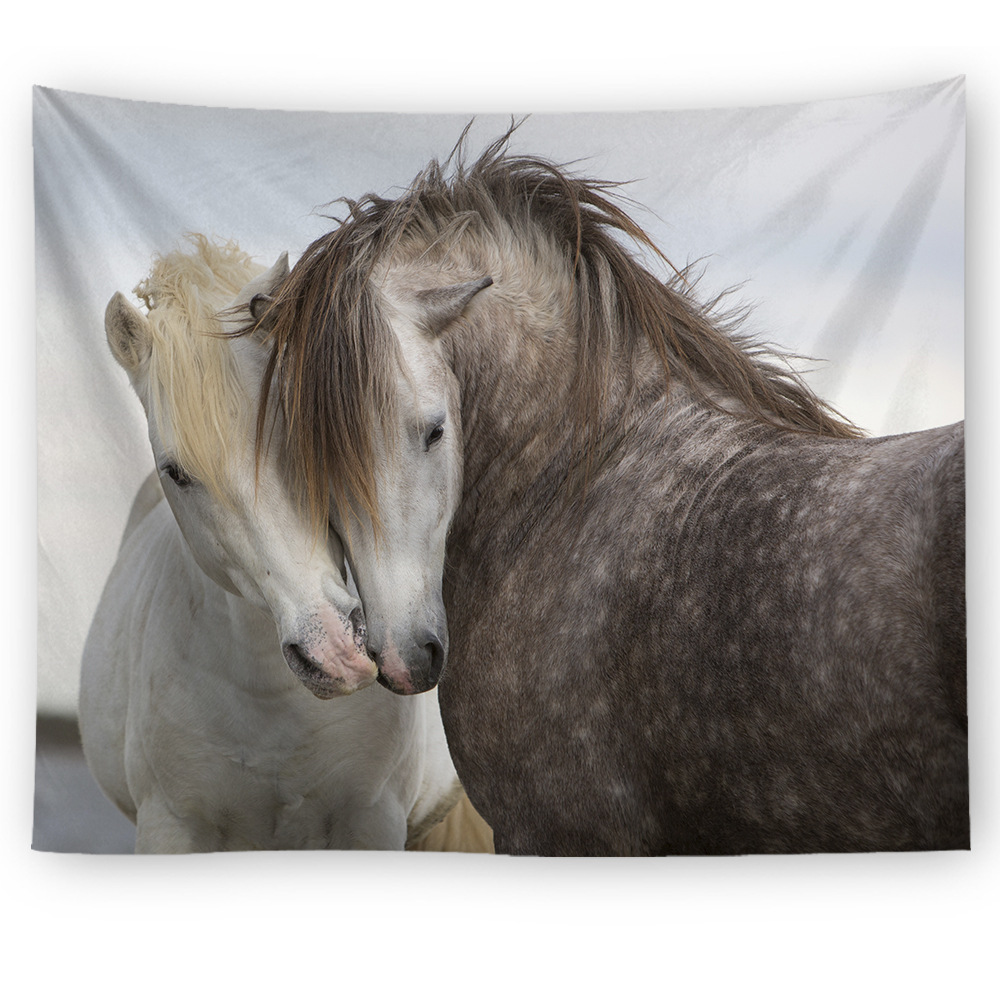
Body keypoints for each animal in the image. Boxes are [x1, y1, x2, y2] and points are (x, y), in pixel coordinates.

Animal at [80, 235, 492, 853]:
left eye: (301, 430)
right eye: (175, 471)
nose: (334, 650)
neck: (272, 700)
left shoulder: (371, 820)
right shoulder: (170, 826)